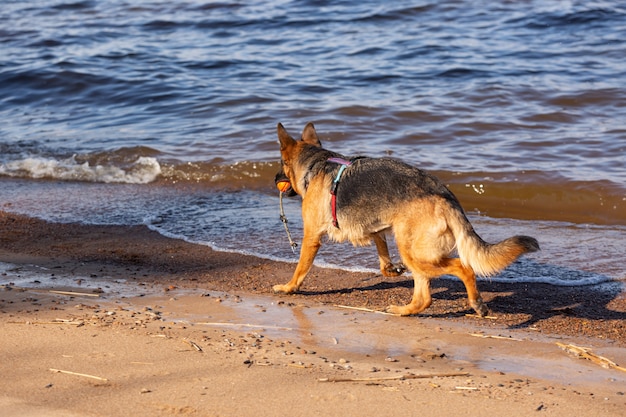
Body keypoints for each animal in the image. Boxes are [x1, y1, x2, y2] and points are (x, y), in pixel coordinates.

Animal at [272, 122, 536, 316]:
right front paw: (391, 270)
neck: (316, 163)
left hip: (414, 251)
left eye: (282, 164)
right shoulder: (377, 227)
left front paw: (289, 287)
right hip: (410, 248)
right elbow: (382, 254)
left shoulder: (312, 237)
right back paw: (404, 310)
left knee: (463, 268)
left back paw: (476, 303)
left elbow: (301, 268)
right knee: (424, 297)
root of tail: (444, 196)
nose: (274, 178)